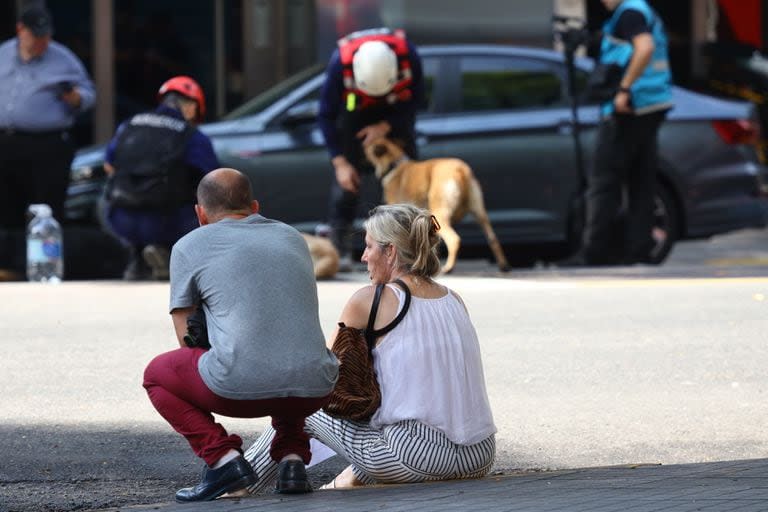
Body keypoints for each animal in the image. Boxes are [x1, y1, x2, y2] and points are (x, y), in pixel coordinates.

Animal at [364, 136, 510, 272]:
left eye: (367, 149)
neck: (394, 163)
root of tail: (460, 169)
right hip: (480, 213)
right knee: (493, 238)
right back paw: (503, 265)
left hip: (440, 213)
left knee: (454, 239)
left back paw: (449, 268)